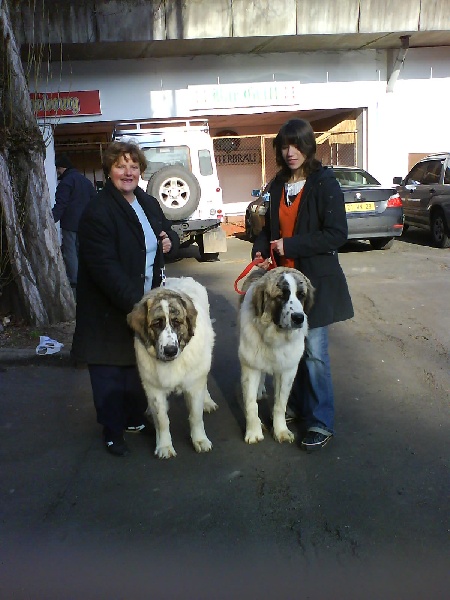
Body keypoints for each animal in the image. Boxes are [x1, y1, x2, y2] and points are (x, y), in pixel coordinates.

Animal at [126, 278, 218, 460]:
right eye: (156, 323)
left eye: (177, 322)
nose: (170, 350)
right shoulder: (154, 389)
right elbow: (162, 420)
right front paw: (164, 446)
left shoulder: (194, 385)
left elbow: (195, 415)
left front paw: (200, 439)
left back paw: (207, 401)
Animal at [237, 268, 314, 446]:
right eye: (281, 296)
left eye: (301, 295)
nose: (299, 317)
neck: (275, 336)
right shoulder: (250, 366)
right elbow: (250, 403)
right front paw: (254, 431)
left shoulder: (288, 371)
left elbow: (280, 404)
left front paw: (281, 431)